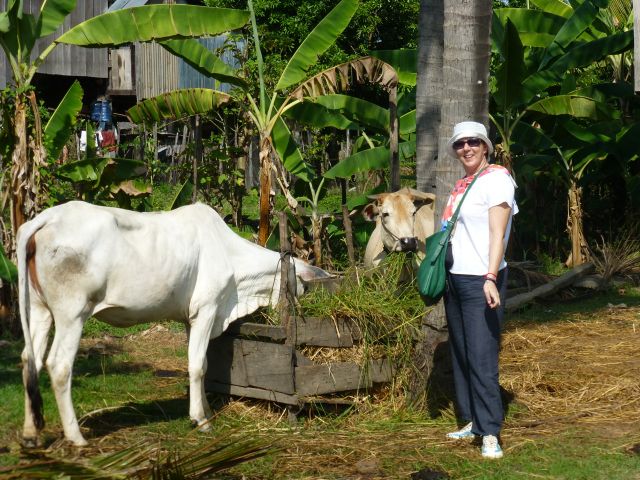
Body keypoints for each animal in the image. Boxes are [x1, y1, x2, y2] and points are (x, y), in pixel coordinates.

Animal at [18, 202, 330, 446]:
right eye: (304, 286)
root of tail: (45, 218)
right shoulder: (206, 310)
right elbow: (198, 366)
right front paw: (201, 420)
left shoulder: (191, 318)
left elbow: (201, 365)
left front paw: (204, 409)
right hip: (72, 314)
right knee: (59, 365)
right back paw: (76, 437)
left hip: (40, 310)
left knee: (29, 360)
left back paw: (31, 434)